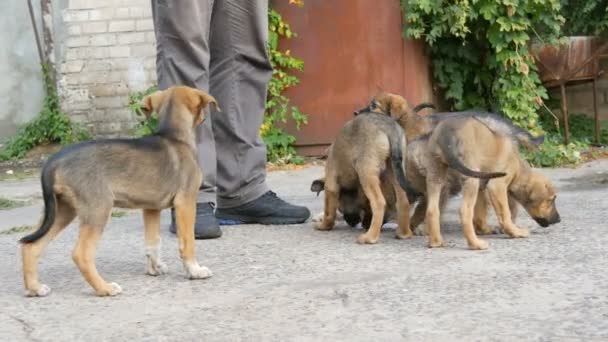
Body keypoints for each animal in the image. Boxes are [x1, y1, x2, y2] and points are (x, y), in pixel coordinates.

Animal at [19, 85, 218, 296]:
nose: (205, 118)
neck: (174, 136)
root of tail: (54, 161)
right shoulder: (185, 202)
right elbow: (188, 242)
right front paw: (195, 271)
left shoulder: (151, 208)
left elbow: (153, 242)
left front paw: (154, 268)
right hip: (98, 209)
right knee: (81, 254)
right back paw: (104, 288)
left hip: (62, 210)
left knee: (30, 246)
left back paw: (35, 288)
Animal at [314, 111, 418, 243]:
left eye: (341, 209)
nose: (353, 223)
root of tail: (388, 125)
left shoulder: (331, 184)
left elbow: (329, 211)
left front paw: (324, 225)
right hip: (395, 168)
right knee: (403, 201)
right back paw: (403, 234)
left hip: (366, 170)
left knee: (379, 202)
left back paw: (370, 237)